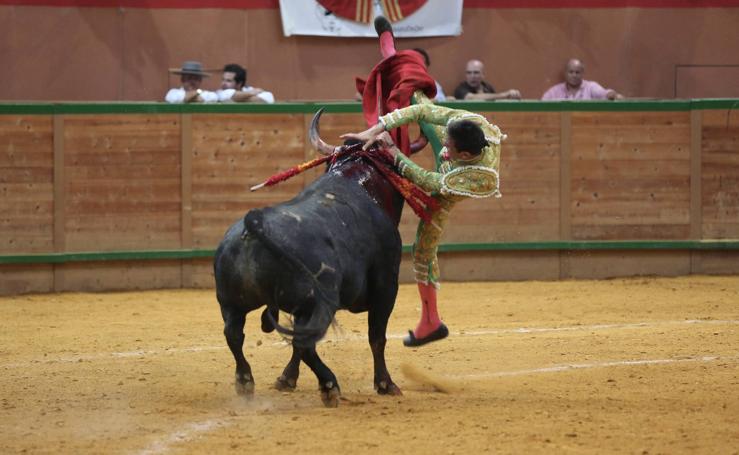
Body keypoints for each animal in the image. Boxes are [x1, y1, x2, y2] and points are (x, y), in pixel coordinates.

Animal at [214, 109, 420, 406]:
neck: (355, 177)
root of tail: (254, 227)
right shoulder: (387, 285)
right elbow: (377, 336)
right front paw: (385, 383)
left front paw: (286, 379)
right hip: (317, 304)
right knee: (305, 342)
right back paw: (329, 385)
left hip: (231, 302)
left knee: (234, 335)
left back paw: (245, 382)